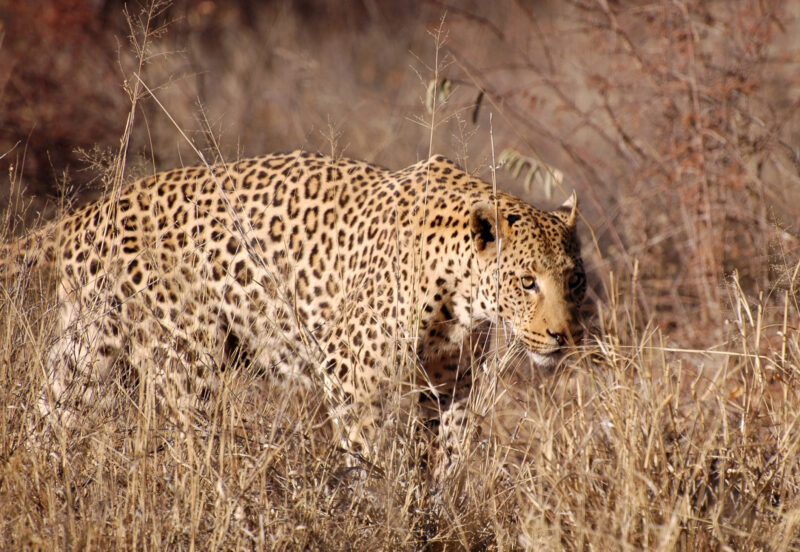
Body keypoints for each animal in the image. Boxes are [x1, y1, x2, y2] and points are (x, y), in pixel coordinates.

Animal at [1, 150, 585, 466]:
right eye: (527, 282)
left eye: (573, 280)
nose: (563, 336)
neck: (463, 294)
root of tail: (94, 209)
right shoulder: (352, 371)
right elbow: (369, 456)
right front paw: (376, 514)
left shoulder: (452, 384)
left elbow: (446, 458)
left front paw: (436, 514)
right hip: (188, 362)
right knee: (195, 452)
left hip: (86, 351)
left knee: (50, 416)